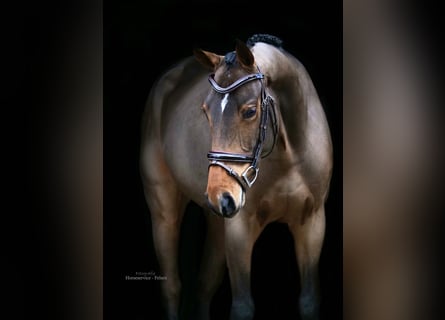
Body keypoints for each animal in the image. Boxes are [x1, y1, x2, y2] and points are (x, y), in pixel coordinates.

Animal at [140, 34, 332, 320]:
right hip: (165, 212)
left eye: (250, 111)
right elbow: (242, 306)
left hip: (217, 221)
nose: (220, 196)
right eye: (206, 111)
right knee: (172, 287)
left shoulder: (312, 222)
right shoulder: (240, 227)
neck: (289, 157)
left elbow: (309, 301)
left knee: (205, 285)